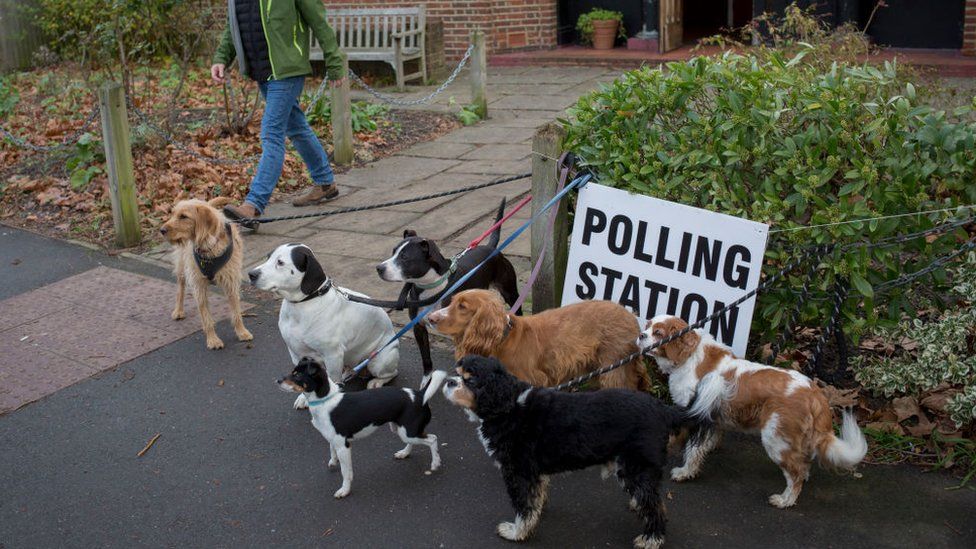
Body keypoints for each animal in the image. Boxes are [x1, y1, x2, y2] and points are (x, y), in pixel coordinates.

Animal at [250, 244, 398, 406]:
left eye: (280, 262)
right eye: (268, 257)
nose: (251, 274)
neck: (302, 305)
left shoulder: (332, 355)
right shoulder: (296, 353)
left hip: (379, 361)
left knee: (392, 373)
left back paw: (376, 381)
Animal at [276, 358, 448, 498]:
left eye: (297, 376)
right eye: (292, 371)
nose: (277, 380)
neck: (325, 399)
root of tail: (420, 395)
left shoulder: (344, 446)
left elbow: (346, 472)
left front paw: (344, 490)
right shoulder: (334, 440)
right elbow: (331, 450)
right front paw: (333, 461)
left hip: (409, 431)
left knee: (433, 439)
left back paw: (435, 463)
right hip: (402, 430)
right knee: (415, 441)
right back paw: (404, 453)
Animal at [442, 354, 692, 544]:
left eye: (471, 381)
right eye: (456, 371)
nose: (449, 381)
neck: (509, 406)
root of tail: (662, 409)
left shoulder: (518, 472)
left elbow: (523, 506)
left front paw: (516, 532)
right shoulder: (534, 472)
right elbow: (536, 498)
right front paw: (537, 512)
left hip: (636, 466)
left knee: (655, 506)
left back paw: (651, 539)